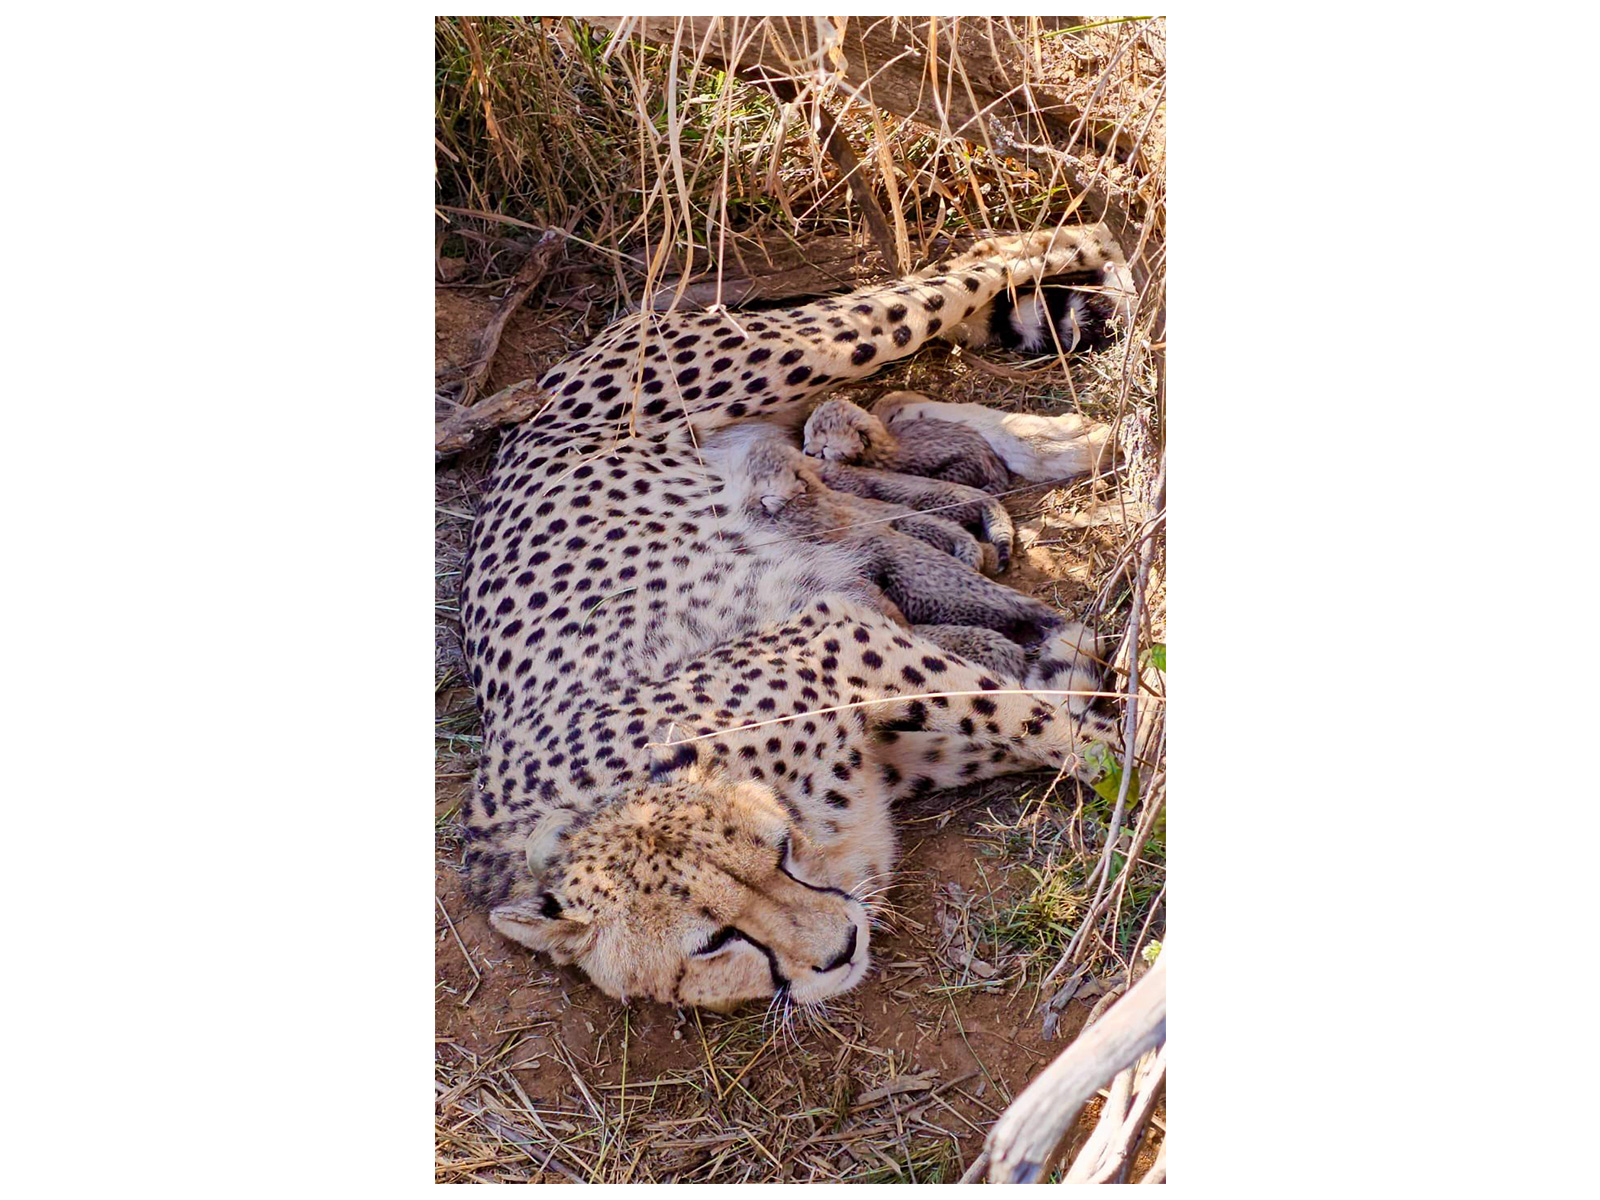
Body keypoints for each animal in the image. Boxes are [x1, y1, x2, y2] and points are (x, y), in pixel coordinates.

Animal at [458, 225, 1126, 1011]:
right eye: (711, 943)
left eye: (776, 851)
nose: (839, 950)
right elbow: (1035, 715)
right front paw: (1069, 667)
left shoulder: (844, 639)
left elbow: (1050, 725)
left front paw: (1142, 764)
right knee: (896, 399)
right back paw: (1055, 444)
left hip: (806, 347)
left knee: (998, 256)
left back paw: (1107, 275)